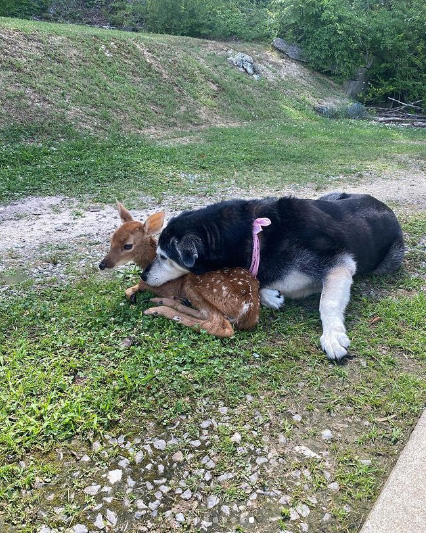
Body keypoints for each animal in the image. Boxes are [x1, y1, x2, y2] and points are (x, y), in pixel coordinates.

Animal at [141, 193, 404, 360]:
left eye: (163, 256)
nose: (143, 276)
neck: (254, 235)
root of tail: (381, 204)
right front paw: (270, 295)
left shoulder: (339, 264)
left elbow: (327, 301)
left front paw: (332, 335)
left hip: (391, 260)